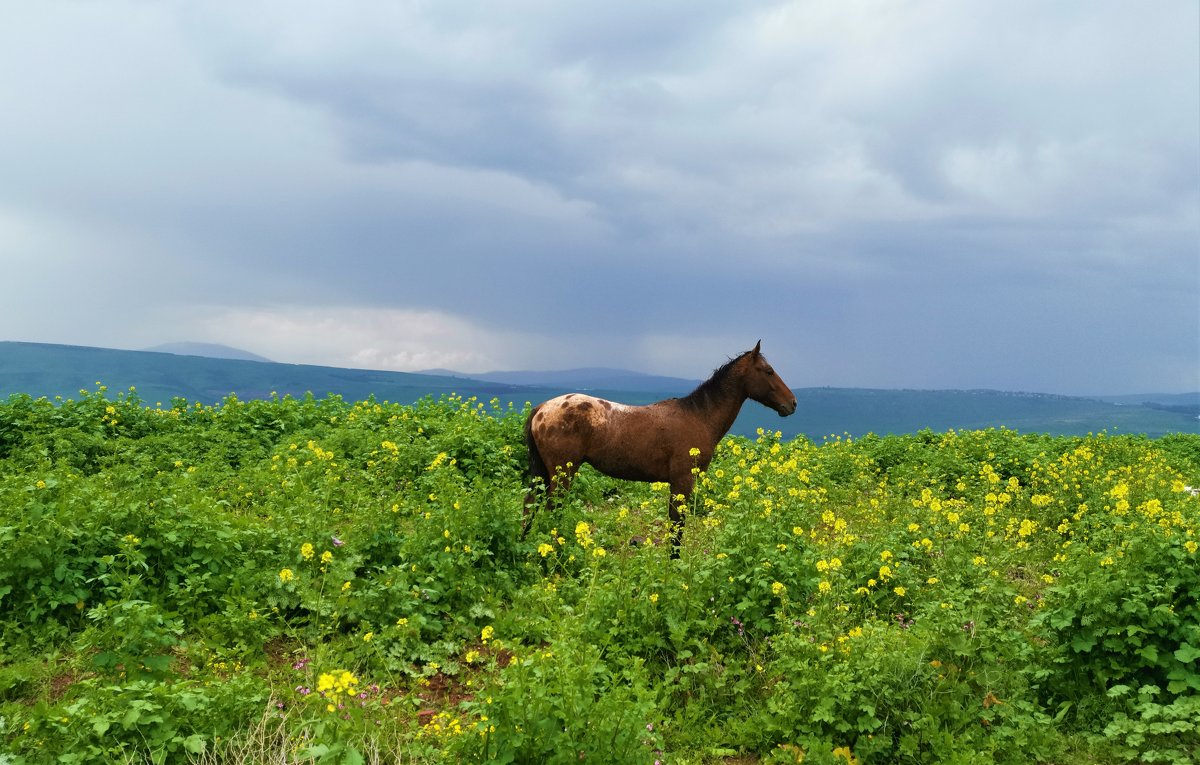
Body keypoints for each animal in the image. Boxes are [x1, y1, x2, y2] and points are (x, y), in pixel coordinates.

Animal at [518, 340, 792, 551]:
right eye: (768, 371)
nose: (792, 403)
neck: (699, 416)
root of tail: (541, 408)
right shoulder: (682, 481)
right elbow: (677, 527)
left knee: (530, 505)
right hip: (562, 474)